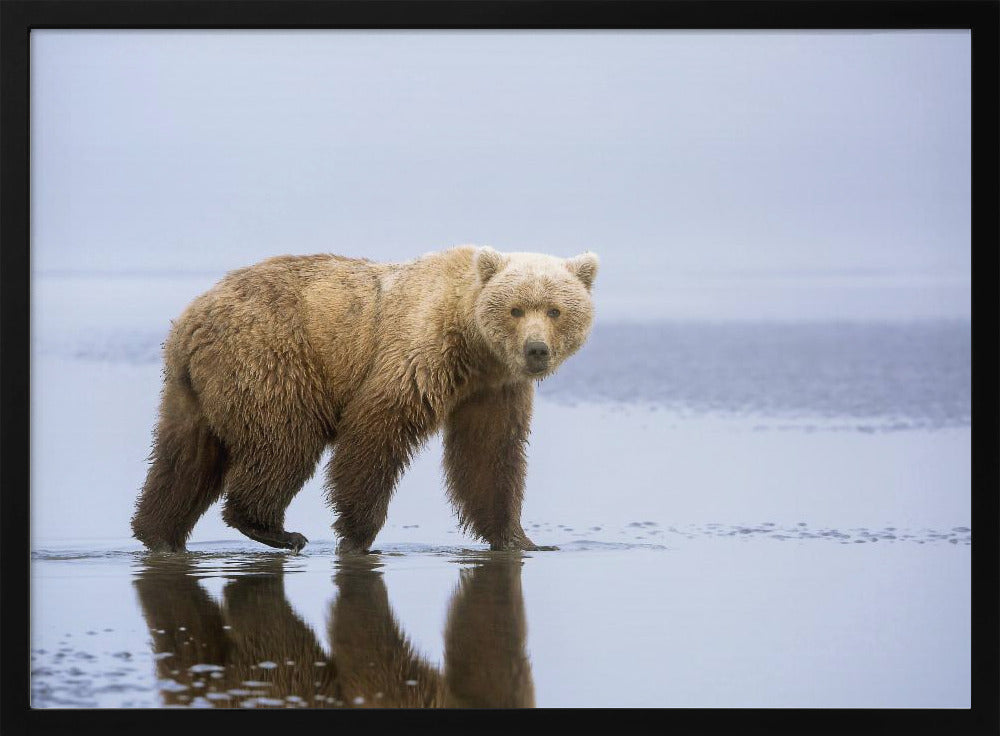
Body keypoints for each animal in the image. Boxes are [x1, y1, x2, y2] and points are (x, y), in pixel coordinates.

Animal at [130, 245, 598, 554]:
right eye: (516, 309)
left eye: (555, 310)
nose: (536, 350)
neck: (473, 345)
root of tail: (191, 318)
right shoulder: (419, 352)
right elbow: (375, 430)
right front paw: (357, 535)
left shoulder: (492, 390)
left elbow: (490, 457)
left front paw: (522, 538)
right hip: (272, 358)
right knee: (285, 441)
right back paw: (275, 529)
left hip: (192, 390)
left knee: (184, 458)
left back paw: (158, 532)